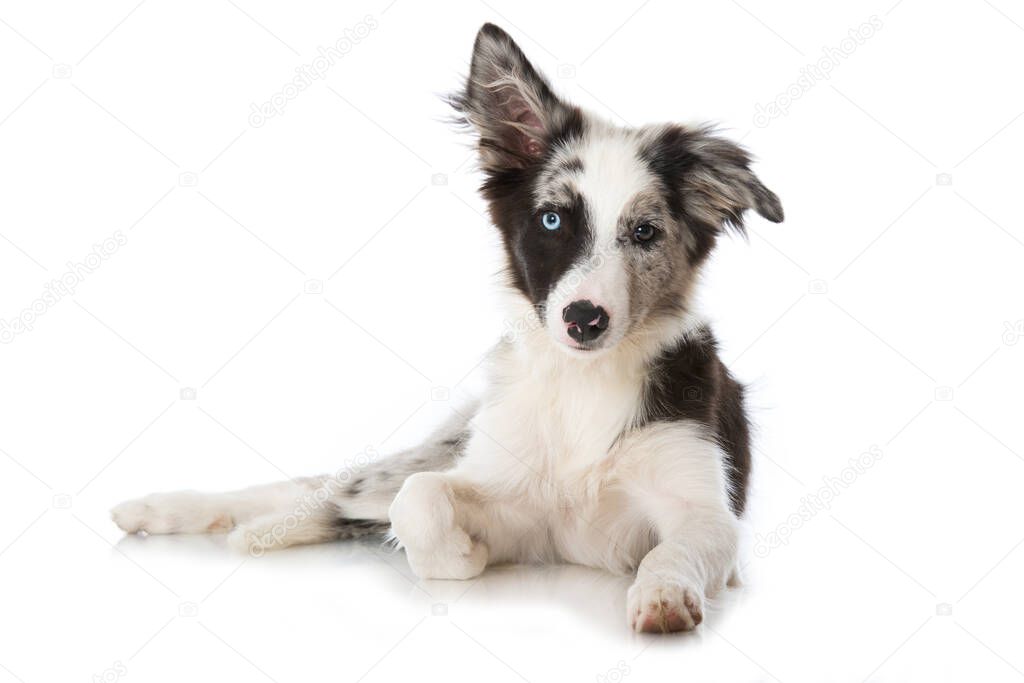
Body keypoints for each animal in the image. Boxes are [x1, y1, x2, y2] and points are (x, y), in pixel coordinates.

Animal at [110, 24, 782, 634]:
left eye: (644, 232)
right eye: (552, 219)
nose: (584, 320)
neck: (579, 384)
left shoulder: (703, 509)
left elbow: (679, 548)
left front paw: (664, 594)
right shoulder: (510, 502)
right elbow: (421, 500)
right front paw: (458, 555)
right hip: (430, 451)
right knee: (334, 485)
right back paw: (167, 510)